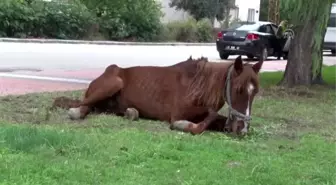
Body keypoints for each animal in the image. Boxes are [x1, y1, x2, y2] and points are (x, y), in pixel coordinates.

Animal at [53, 55, 262, 134]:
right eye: (238, 90)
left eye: (255, 92)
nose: (242, 129)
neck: (197, 85)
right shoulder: (177, 116)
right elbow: (196, 127)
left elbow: (214, 120)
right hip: (114, 82)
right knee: (81, 105)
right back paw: (77, 112)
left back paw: (131, 113)